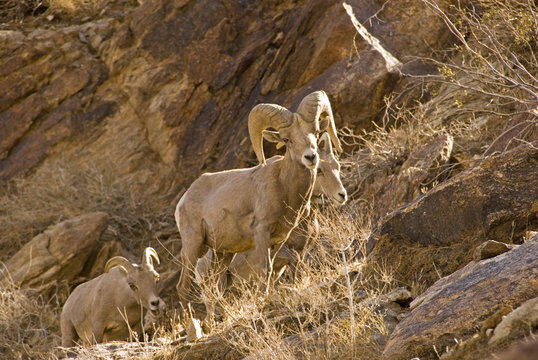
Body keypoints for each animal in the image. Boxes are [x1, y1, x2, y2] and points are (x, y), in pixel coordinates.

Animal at [174, 90, 340, 312]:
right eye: (287, 139)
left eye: (314, 131)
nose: (311, 157)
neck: (283, 187)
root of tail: (183, 201)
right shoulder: (262, 231)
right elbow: (265, 269)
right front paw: (263, 300)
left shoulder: (279, 239)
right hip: (193, 245)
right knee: (184, 287)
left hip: (223, 253)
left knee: (212, 286)